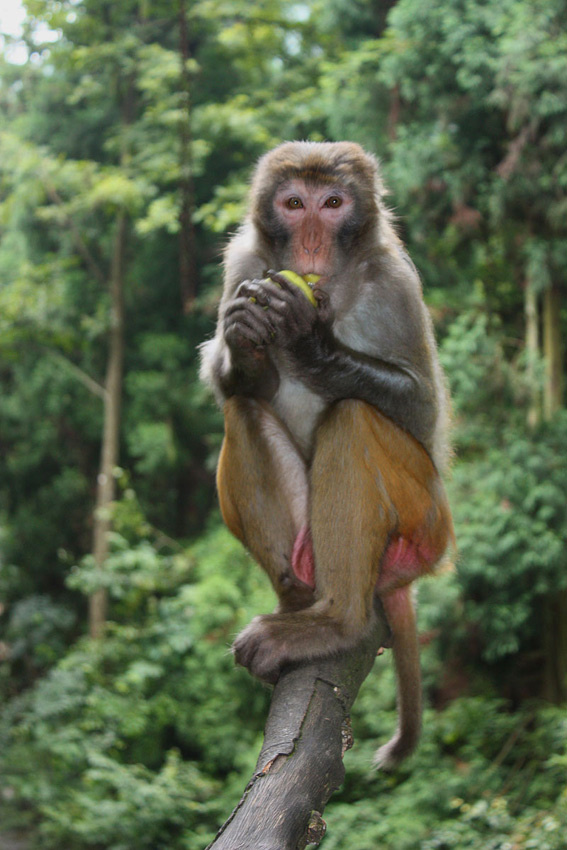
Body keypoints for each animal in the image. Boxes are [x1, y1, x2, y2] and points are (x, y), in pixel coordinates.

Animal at [199, 141, 454, 769]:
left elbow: (422, 406)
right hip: (308, 536)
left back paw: (337, 623)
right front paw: (247, 340)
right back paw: (296, 602)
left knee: (352, 418)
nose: (311, 241)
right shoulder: (243, 262)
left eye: (332, 204)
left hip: (423, 519)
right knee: (243, 410)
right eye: (295, 204)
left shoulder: (396, 281)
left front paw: (312, 345)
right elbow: (232, 384)